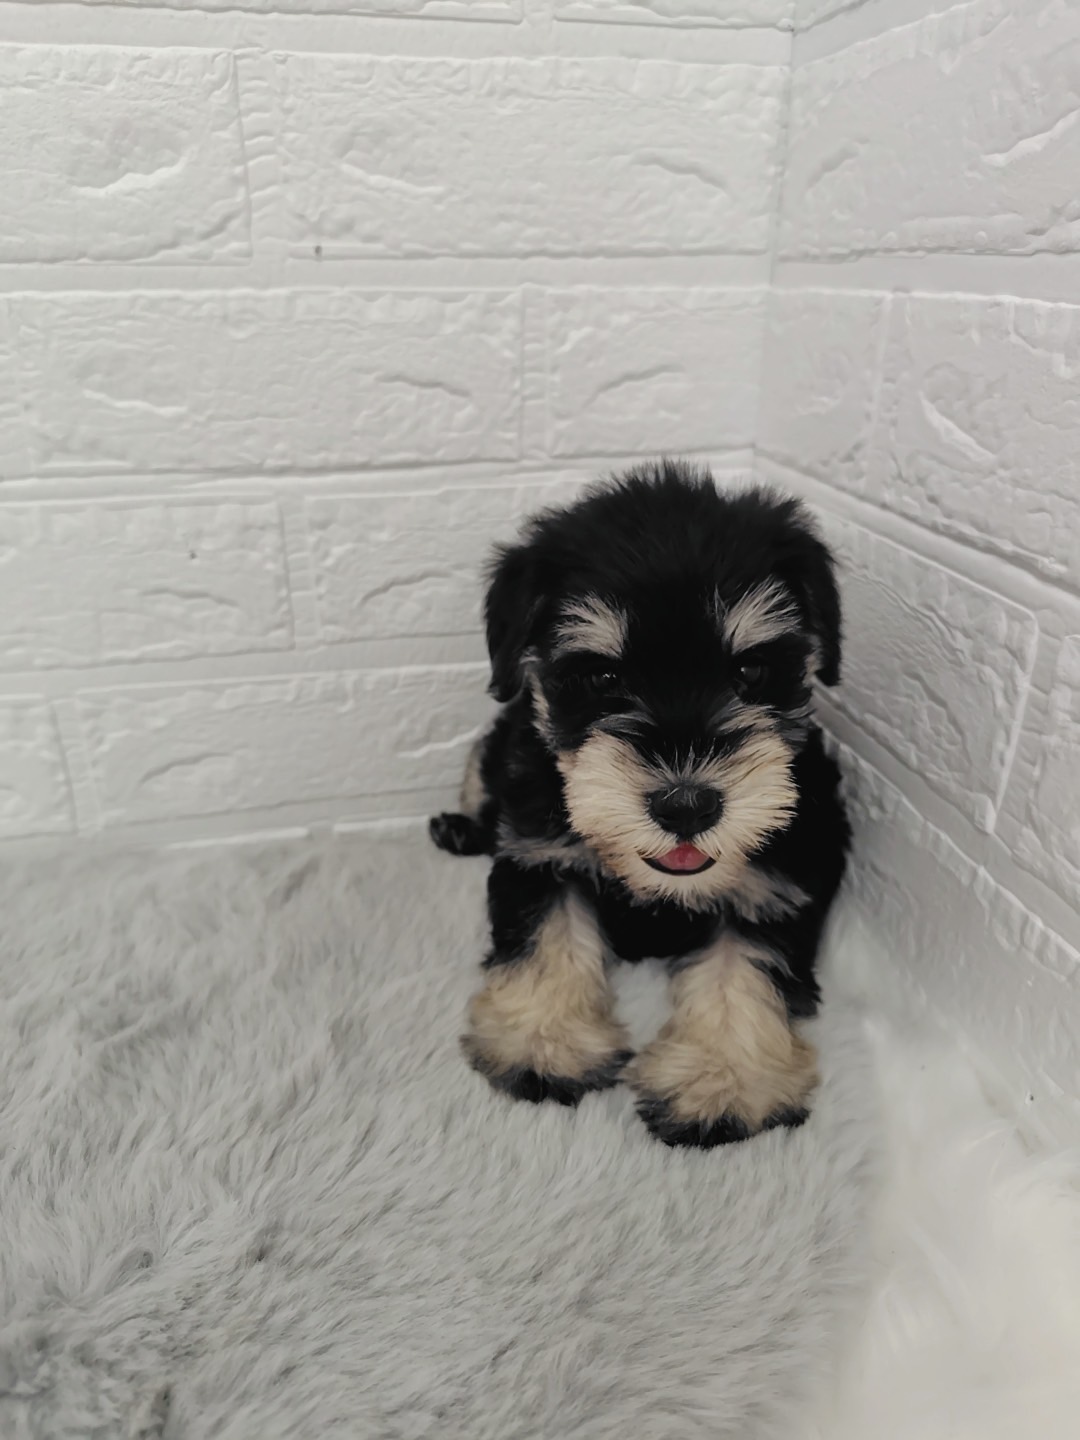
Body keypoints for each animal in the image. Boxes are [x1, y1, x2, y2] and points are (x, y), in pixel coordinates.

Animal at [430, 460, 850, 1147]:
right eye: (602, 678)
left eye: (750, 671)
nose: (687, 806)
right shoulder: (538, 855)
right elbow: (546, 940)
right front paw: (543, 1043)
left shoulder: (779, 882)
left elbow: (743, 971)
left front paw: (722, 1081)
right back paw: (457, 828)